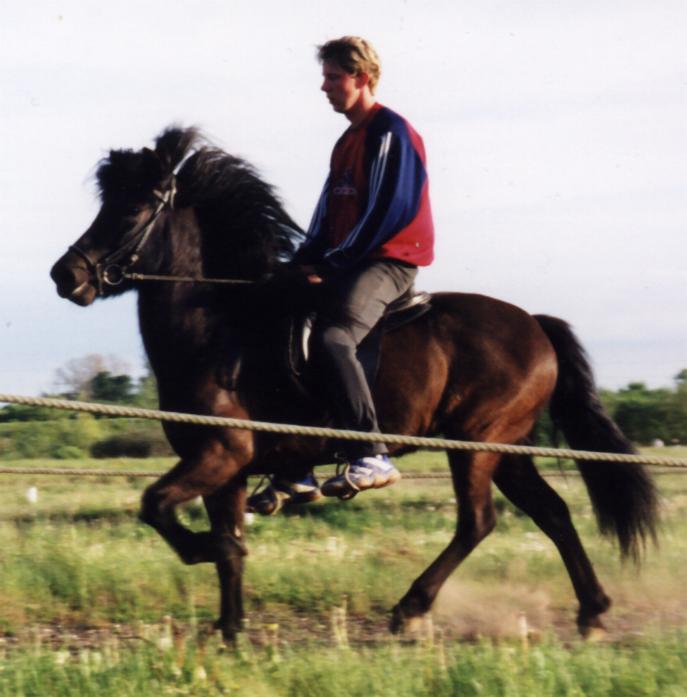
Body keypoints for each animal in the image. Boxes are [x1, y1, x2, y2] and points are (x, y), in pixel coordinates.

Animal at [51, 126, 660, 640]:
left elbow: (156, 505)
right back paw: (592, 613)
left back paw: (410, 607)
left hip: (477, 444)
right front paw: (230, 633)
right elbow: (228, 547)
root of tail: (535, 323)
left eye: (133, 208)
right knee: (552, 512)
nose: (67, 275)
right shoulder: (224, 469)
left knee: (478, 521)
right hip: (505, 447)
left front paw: (201, 552)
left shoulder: (220, 453)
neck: (217, 325)